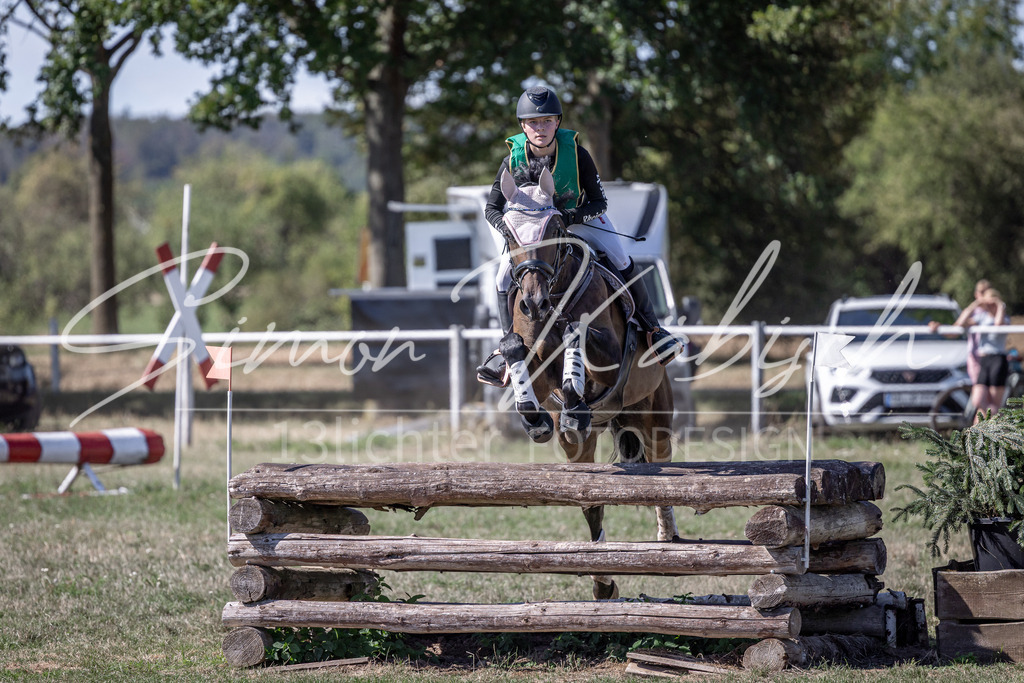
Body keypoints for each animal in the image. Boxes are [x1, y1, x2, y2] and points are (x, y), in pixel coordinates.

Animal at [495, 166, 679, 599]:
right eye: (508, 232)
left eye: (556, 227)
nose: (532, 302)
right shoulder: (539, 373)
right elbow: (517, 350)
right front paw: (534, 417)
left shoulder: (609, 359)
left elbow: (575, 331)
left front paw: (574, 391)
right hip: (580, 445)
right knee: (590, 501)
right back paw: (603, 581)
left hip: (654, 416)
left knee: (661, 470)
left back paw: (667, 538)